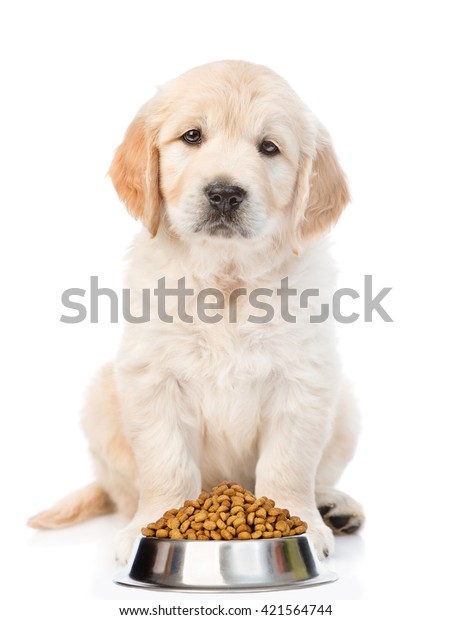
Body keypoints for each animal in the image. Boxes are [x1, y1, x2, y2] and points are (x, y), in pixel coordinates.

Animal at [29, 59, 364, 560]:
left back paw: (334, 507)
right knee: (121, 493)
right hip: (102, 398)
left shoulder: (304, 379)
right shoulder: (152, 378)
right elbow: (166, 463)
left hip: (345, 405)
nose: (224, 193)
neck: (225, 283)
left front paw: (301, 520)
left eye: (269, 147)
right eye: (192, 136)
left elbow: (289, 461)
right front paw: (152, 523)